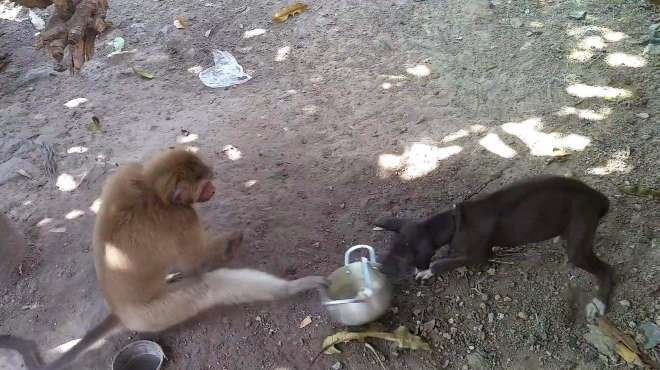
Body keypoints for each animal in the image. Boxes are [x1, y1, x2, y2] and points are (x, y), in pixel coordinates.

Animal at [0, 149, 324, 368]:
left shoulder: (125, 174)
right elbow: (195, 262)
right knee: (209, 286)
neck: (151, 190)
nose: (214, 189)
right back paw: (293, 287)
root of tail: (120, 311)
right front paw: (232, 242)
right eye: (204, 185)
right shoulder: (182, 216)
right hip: (155, 313)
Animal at [374, 174, 616, 320]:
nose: (380, 269)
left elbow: (441, 263)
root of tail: (597, 197)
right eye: (390, 248)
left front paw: (426, 271)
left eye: (402, 257)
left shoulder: (479, 257)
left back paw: (599, 303)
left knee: (608, 270)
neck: (453, 221)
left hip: (578, 247)